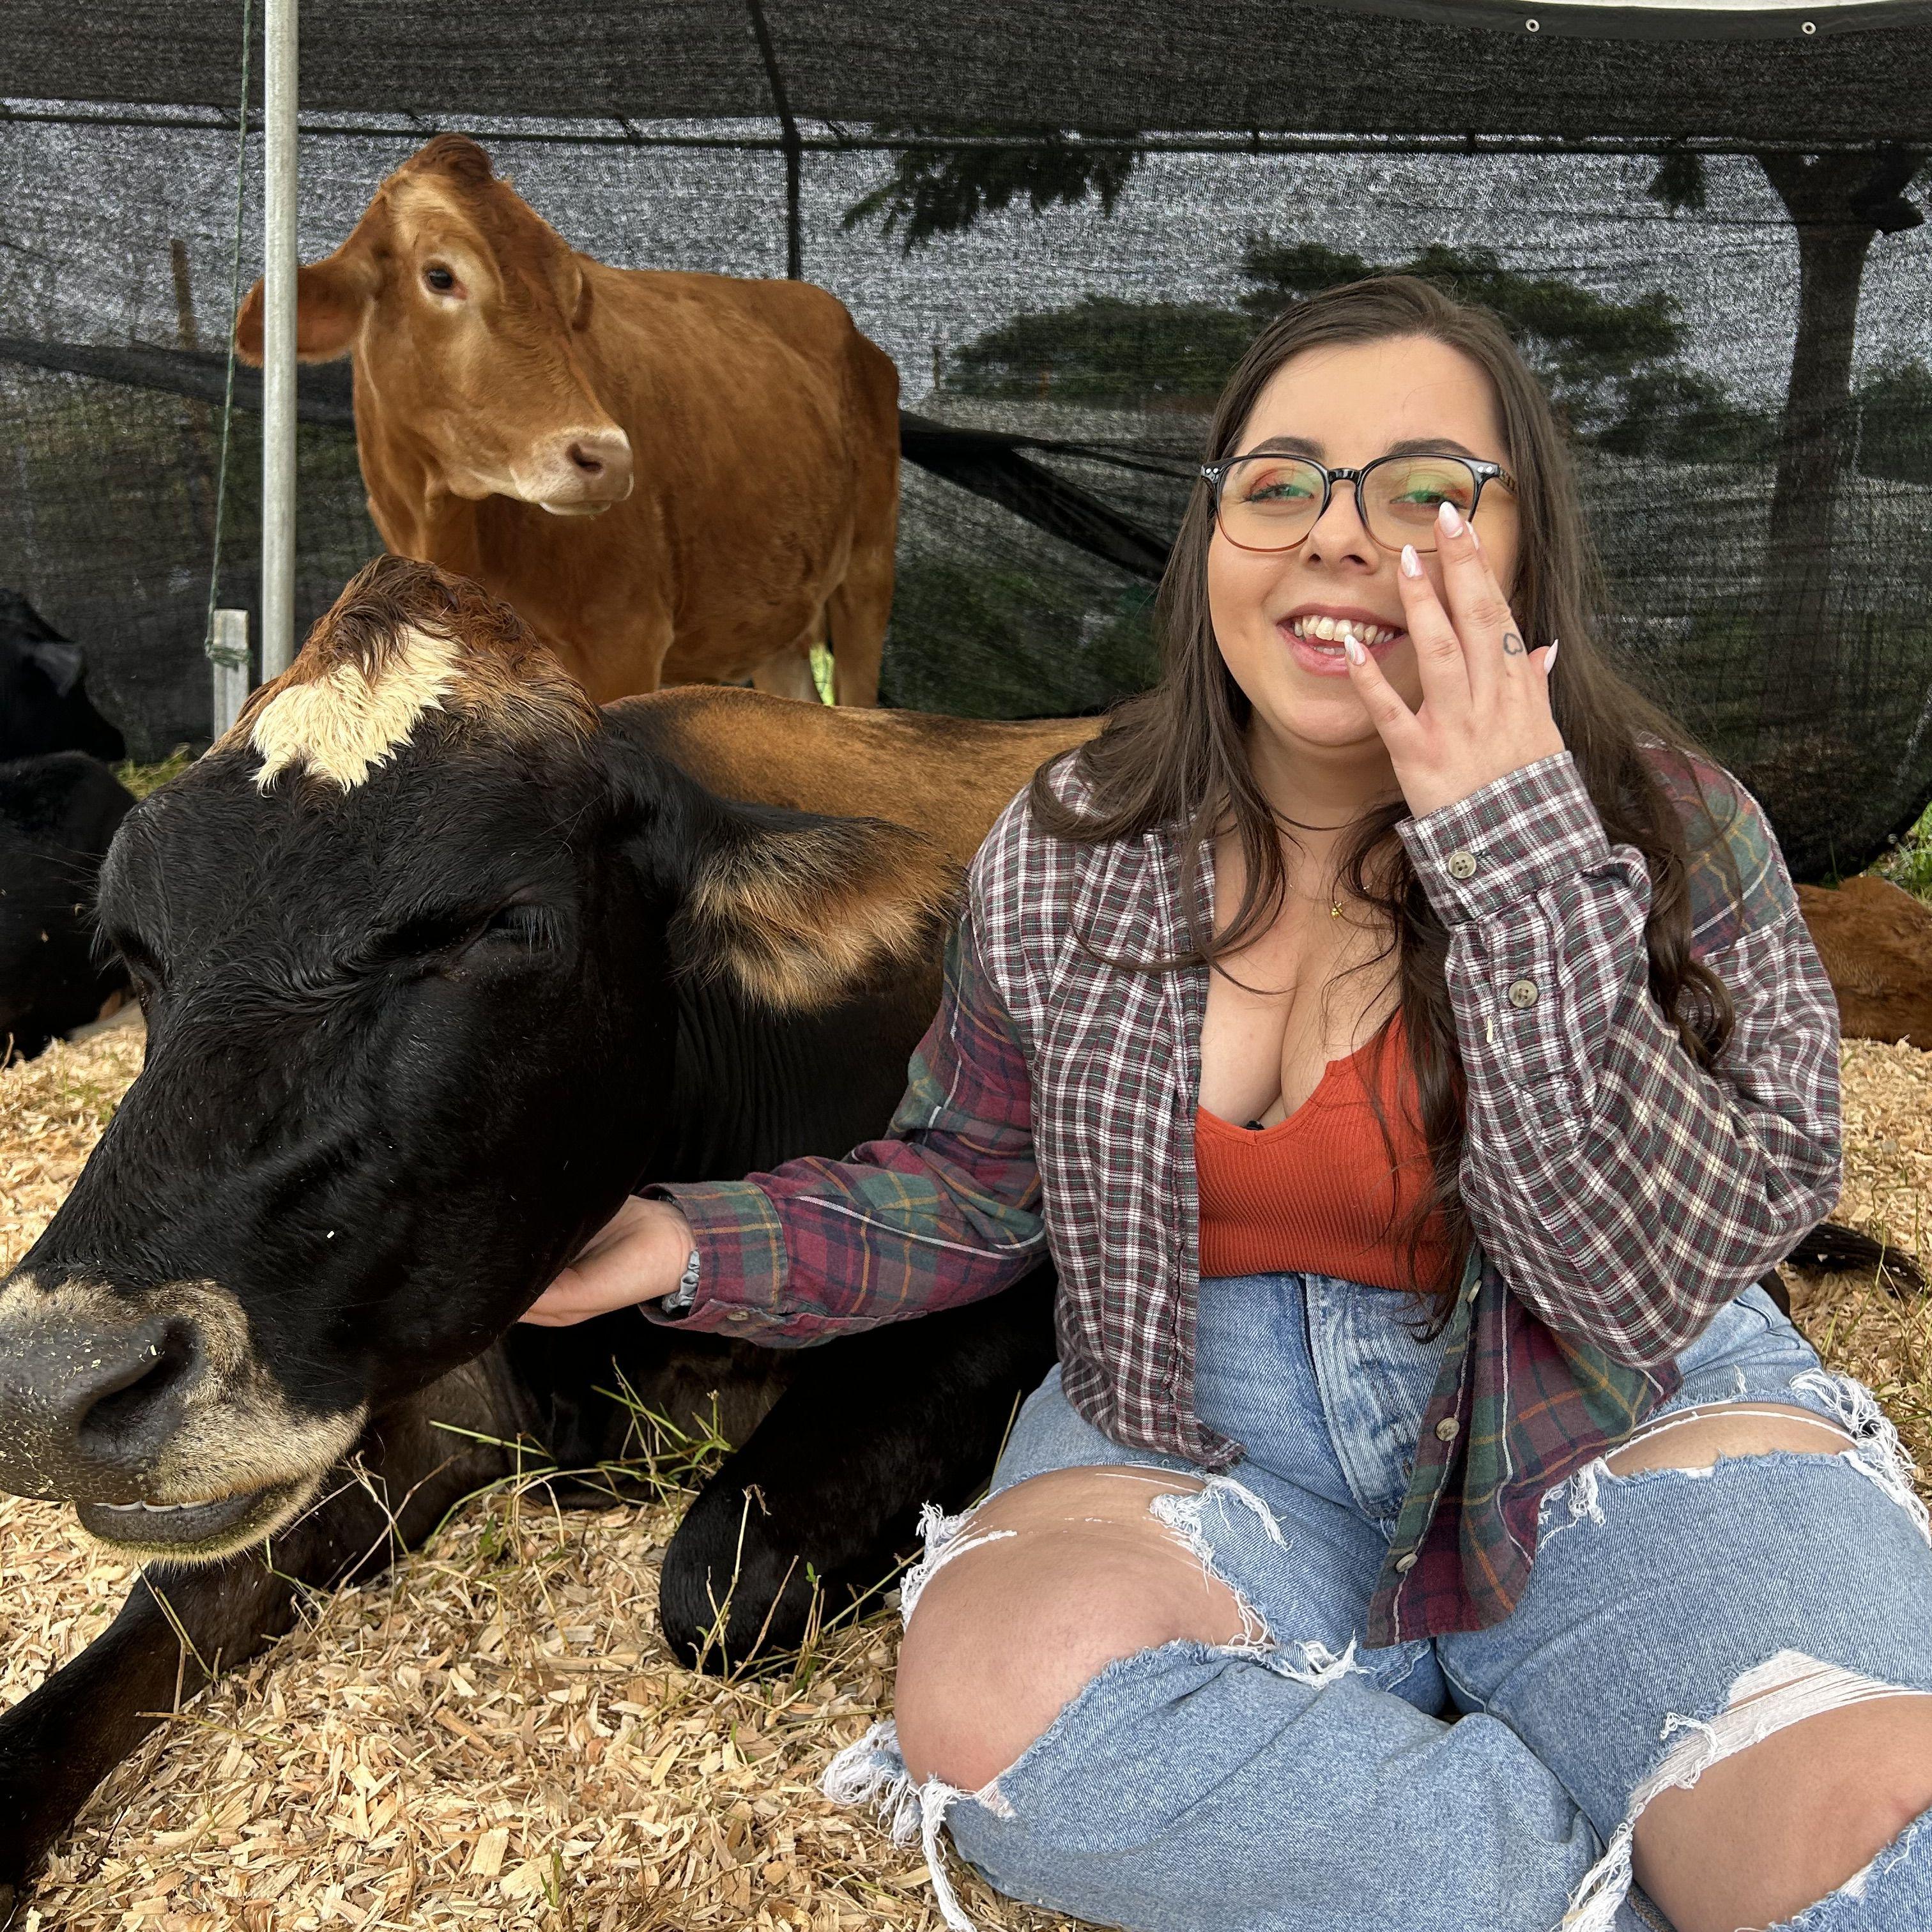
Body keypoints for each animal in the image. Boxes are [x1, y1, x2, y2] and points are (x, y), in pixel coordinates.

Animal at [234, 135, 900, 707]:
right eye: (441, 275)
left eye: (571, 293)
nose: (609, 460)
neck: (447, 529)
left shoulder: (624, 638)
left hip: (868, 575)